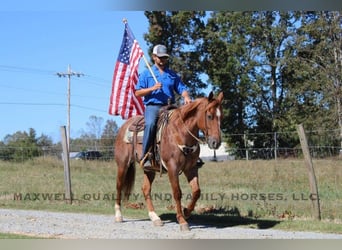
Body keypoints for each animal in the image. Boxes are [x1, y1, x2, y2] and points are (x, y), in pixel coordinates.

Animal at [113, 91, 223, 231]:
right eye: (209, 116)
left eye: (221, 116)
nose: (216, 143)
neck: (181, 132)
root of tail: (124, 126)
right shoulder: (172, 168)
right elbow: (177, 193)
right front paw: (182, 220)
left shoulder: (191, 169)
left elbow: (196, 191)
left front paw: (187, 211)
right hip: (123, 164)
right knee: (119, 186)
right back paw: (118, 215)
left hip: (149, 169)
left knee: (145, 189)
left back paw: (155, 218)